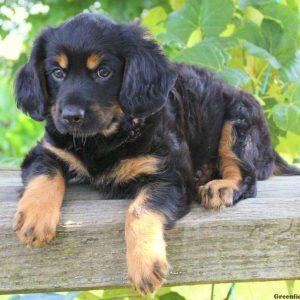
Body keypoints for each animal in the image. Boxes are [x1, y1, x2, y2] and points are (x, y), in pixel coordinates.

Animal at [12, 12, 300, 296]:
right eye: (57, 73)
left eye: (104, 72)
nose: (71, 117)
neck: (102, 140)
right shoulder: (45, 150)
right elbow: (45, 175)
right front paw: (35, 218)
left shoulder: (170, 176)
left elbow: (140, 210)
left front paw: (144, 264)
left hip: (239, 120)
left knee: (246, 175)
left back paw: (221, 186)